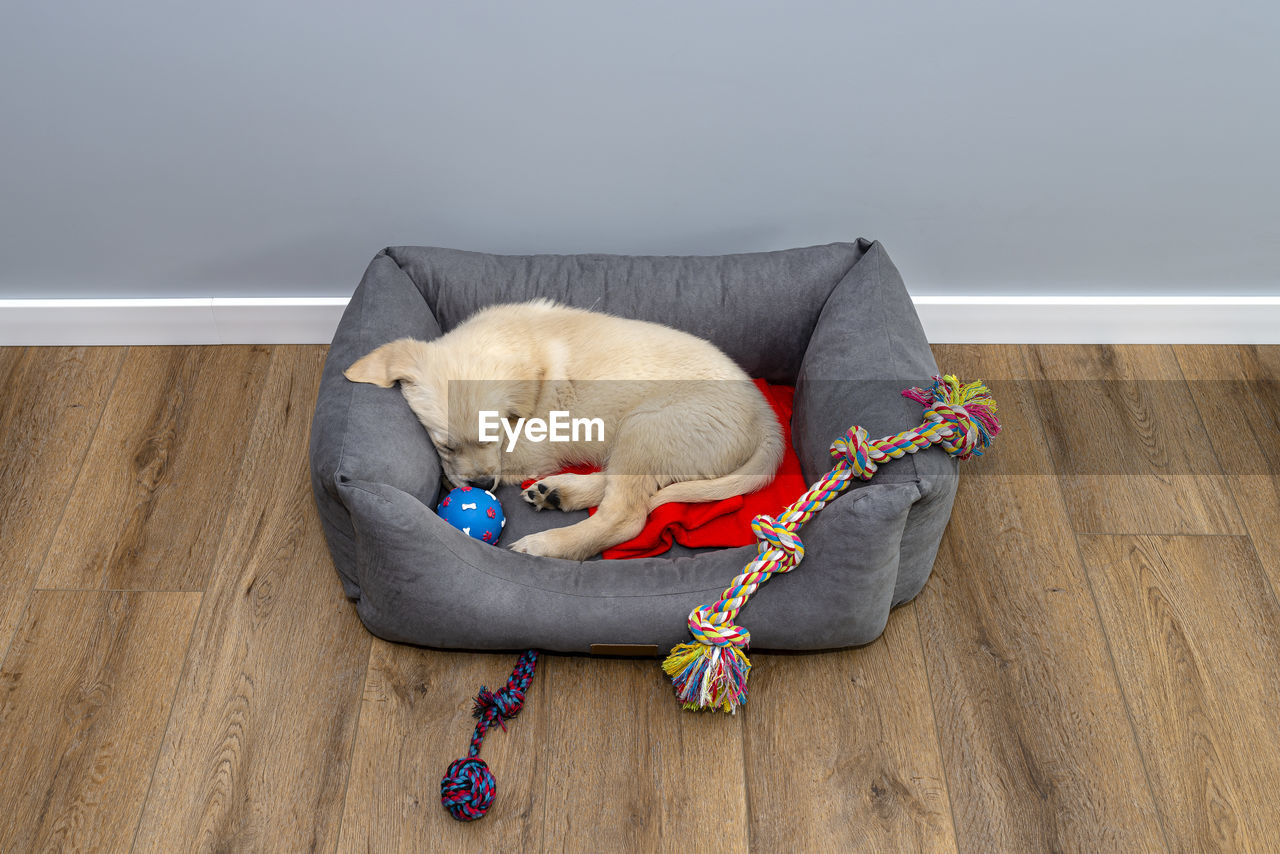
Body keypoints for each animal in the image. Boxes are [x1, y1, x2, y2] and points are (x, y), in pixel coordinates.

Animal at [343, 300, 778, 560]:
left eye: (491, 434)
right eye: (446, 445)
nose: (482, 485)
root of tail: (766, 416)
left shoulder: (535, 444)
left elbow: (510, 457)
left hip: (647, 426)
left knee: (626, 514)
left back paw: (545, 543)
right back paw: (558, 492)